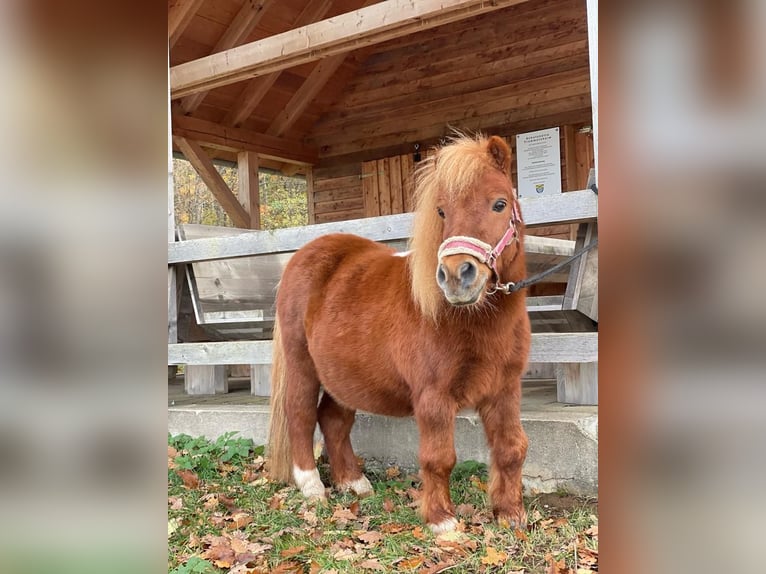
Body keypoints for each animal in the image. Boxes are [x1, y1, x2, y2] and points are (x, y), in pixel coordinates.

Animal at [268, 133, 530, 534]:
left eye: (499, 203)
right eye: (441, 212)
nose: (457, 276)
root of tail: (303, 255)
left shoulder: (505, 390)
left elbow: (511, 448)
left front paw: (510, 514)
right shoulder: (433, 397)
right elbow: (438, 458)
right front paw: (442, 521)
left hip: (345, 375)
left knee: (334, 420)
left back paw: (354, 483)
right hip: (302, 366)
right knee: (300, 414)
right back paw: (312, 487)